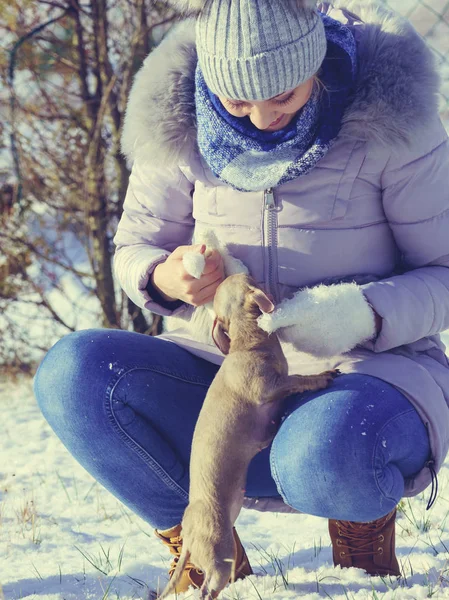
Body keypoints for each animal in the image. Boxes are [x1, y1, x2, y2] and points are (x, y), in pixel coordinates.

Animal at [158, 274, 336, 600]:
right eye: (251, 279)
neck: (246, 345)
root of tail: (188, 535)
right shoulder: (269, 387)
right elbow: (296, 380)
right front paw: (321, 378)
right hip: (220, 554)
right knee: (207, 590)